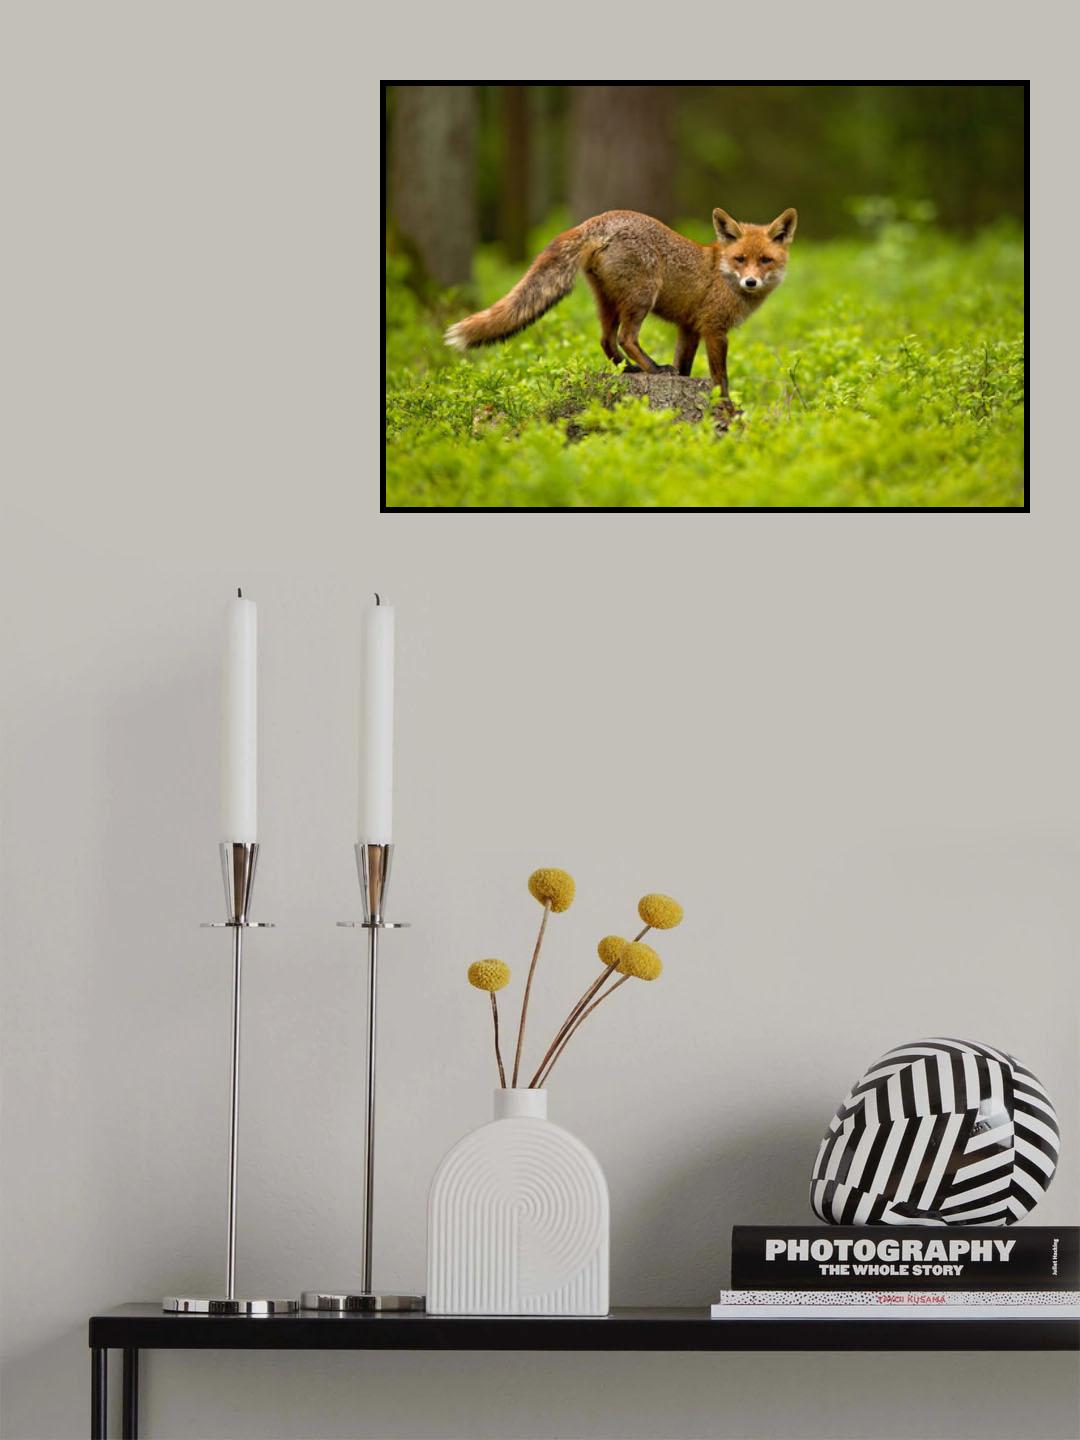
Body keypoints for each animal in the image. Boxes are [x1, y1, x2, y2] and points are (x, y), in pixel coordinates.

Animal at [445, 206, 797, 398]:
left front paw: (685, 382)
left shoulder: (689, 328)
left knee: (606, 340)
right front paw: (725, 405)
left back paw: (628, 369)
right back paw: (654, 369)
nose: (750, 282)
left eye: (765, 260)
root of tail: (599, 219)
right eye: (741, 260)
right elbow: (720, 376)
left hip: (608, 302)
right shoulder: (714, 329)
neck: (721, 273)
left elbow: (685, 367)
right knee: (627, 337)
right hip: (642, 296)